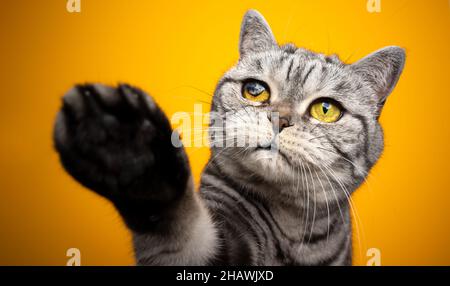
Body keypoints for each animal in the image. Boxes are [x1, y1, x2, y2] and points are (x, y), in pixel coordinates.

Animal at [51, 9, 404, 266]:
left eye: (326, 109)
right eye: (255, 90)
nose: (279, 119)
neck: (293, 231)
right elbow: (183, 235)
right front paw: (135, 156)